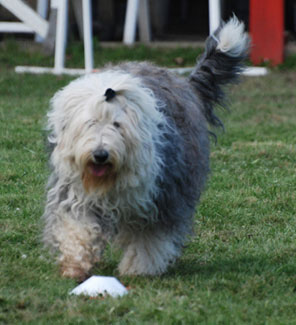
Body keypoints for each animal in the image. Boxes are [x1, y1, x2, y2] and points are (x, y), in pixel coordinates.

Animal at [42, 17, 250, 280]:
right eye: (90, 123)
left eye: (117, 125)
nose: (100, 155)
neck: (110, 179)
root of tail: (184, 83)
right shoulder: (76, 193)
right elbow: (77, 226)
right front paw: (75, 264)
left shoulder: (161, 197)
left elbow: (150, 238)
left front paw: (139, 269)